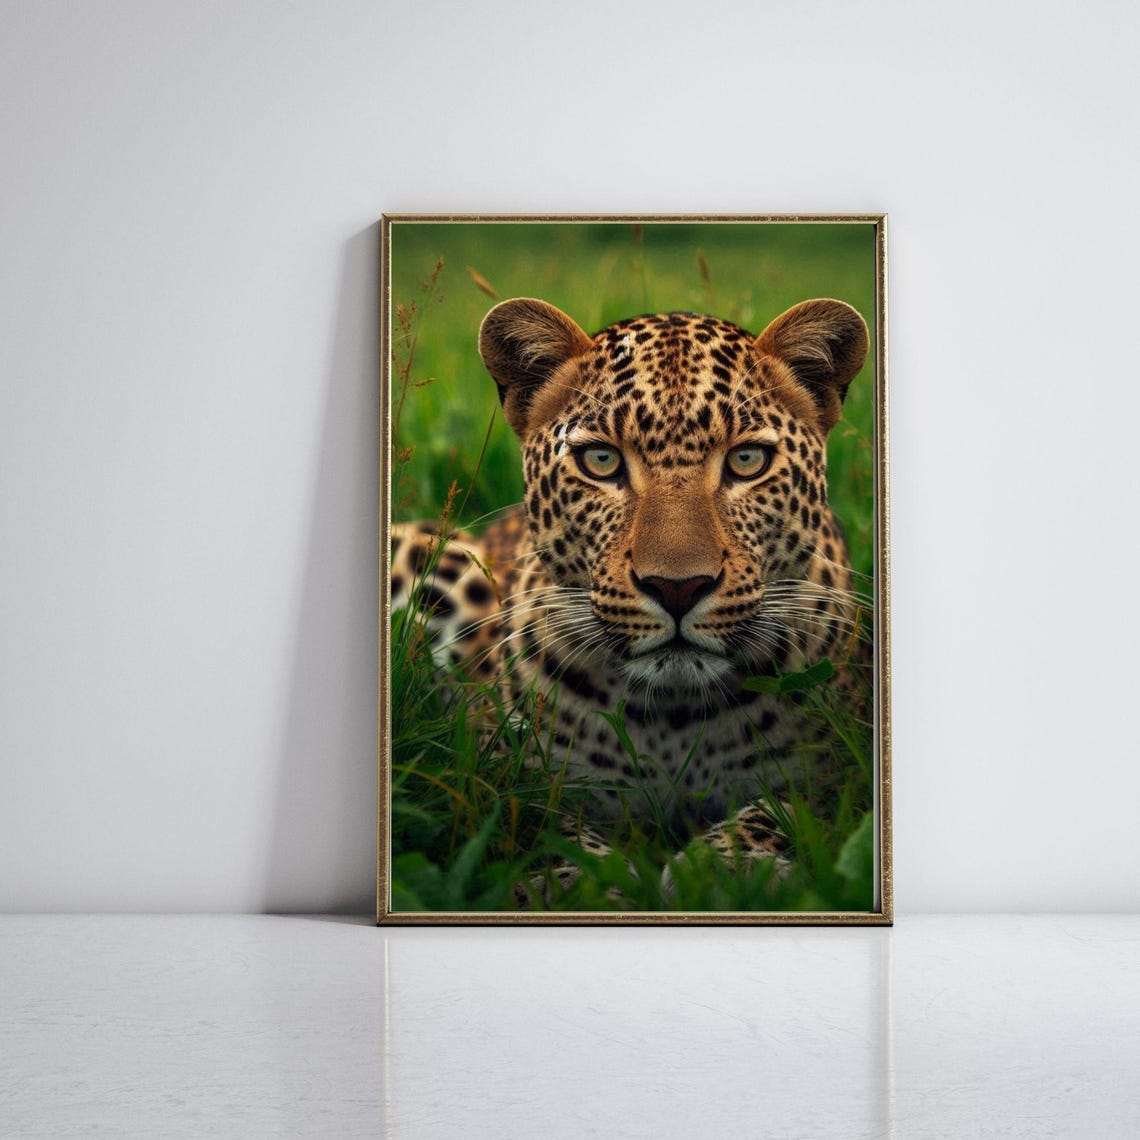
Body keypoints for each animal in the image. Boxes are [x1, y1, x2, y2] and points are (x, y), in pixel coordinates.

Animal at [390, 294, 872, 895]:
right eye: (601, 461)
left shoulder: (838, 775)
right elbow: (535, 820)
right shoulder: (497, 776)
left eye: (747, 461)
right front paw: (579, 881)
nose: (678, 587)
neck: (672, 717)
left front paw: (726, 870)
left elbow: (781, 815)